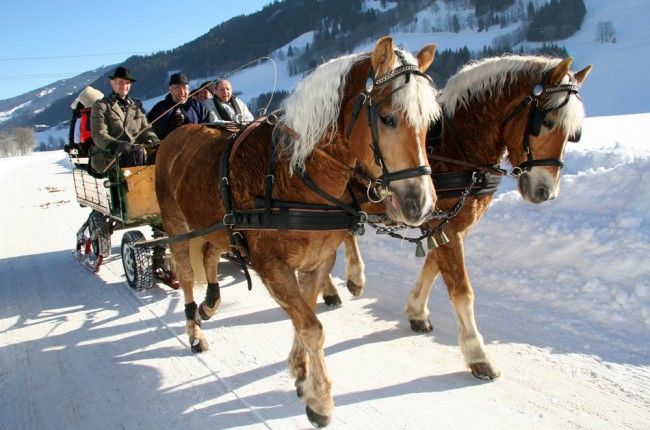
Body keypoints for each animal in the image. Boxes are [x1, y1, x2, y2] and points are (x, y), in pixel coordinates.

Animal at [154, 37, 438, 426]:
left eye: (430, 122)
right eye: (387, 118)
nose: (420, 203)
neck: (295, 173)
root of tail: (175, 135)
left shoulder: (318, 260)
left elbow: (304, 317)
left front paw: (301, 372)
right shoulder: (273, 267)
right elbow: (311, 327)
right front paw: (320, 401)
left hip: (215, 226)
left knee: (211, 253)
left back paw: (210, 305)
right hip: (177, 226)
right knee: (184, 276)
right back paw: (195, 330)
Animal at [322, 53, 588, 380]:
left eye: (574, 135)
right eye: (547, 122)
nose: (545, 191)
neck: (456, 146)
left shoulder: (451, 223)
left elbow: (433, 267)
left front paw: (416, 311)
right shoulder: (441, 223)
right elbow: (461, 288)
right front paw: (478, 354)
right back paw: (342, 282)